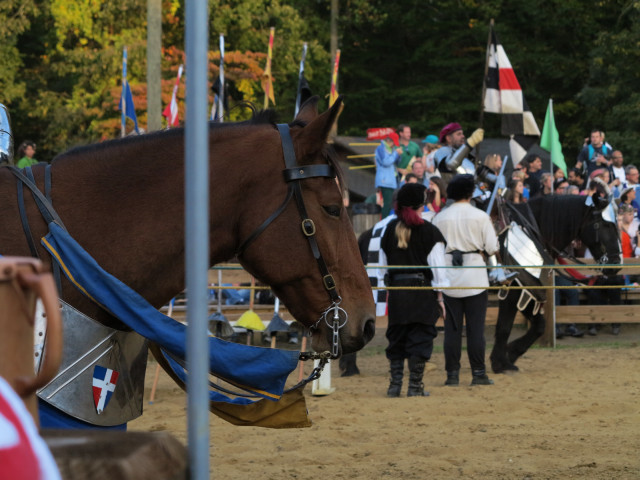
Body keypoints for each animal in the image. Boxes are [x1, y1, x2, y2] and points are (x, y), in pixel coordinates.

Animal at [490, 188, 620, 376]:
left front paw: (511, 353)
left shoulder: (529, 288)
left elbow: (539, 325)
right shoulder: (513, 290)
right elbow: (504, 327)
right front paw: (500, 362)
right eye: (606, 225)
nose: (616, 263)